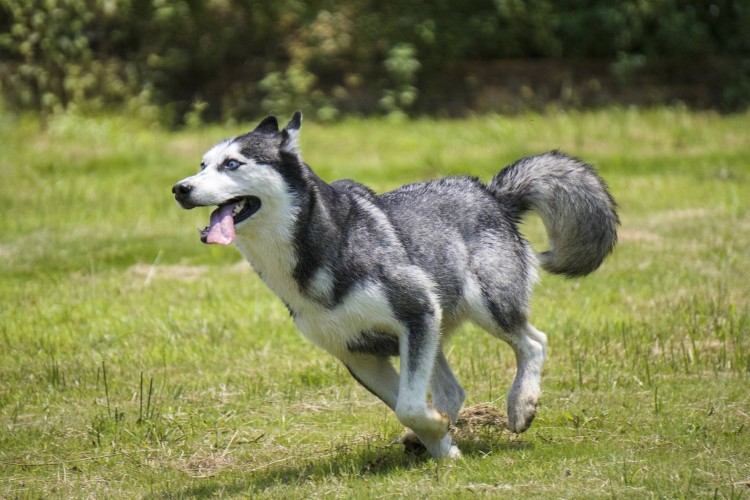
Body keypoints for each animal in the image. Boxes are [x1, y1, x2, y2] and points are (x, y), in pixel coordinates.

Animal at [173, 113, 620, 460]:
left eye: (232, 164)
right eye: (202, 165)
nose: (180, 189)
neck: (323, 246)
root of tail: (490, 193)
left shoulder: (415, 312)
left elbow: (409, 406)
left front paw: (439, 437)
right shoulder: (359, 354)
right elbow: (408, 406)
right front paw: (443, 446)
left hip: (486, 306)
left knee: (533, 342)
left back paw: (521, 405)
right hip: (436, 329)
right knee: (453, 391)